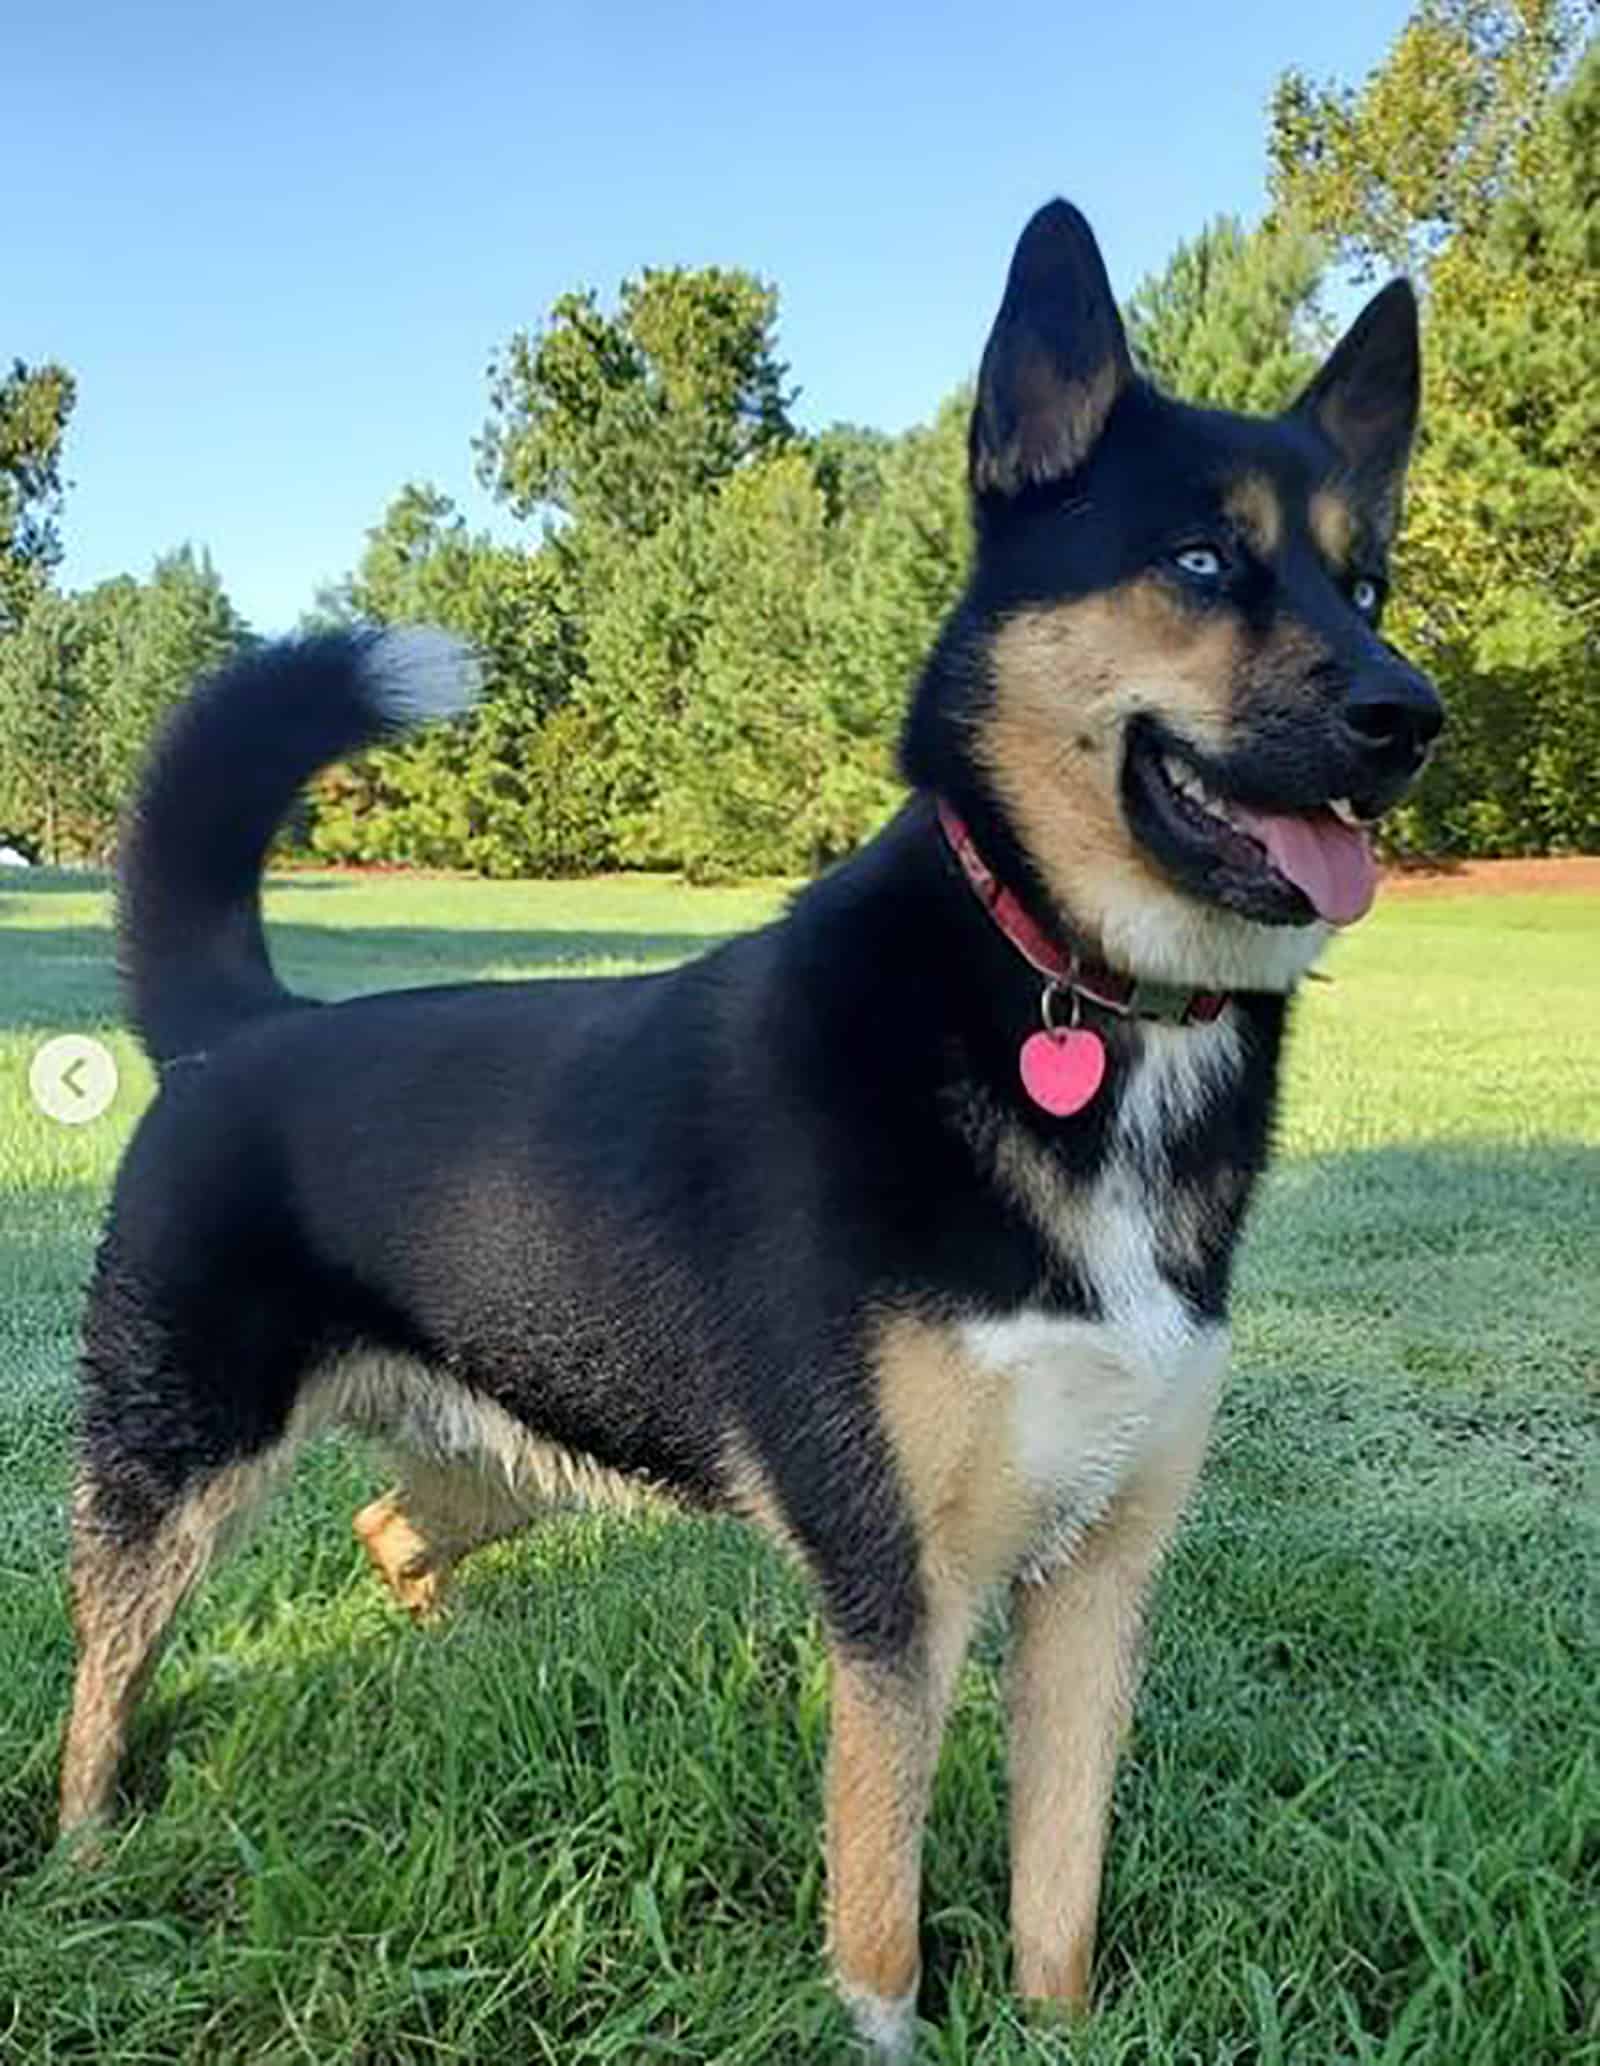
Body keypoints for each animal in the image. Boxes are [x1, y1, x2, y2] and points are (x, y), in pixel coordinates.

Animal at [59, 197, 1438, 2049]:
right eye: (1206, 564)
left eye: (1365, 583)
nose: (1411, 716)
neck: (1074, 1000)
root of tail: (238, 1031)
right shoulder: (894, 1589)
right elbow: (880, 1924)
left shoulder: (1099, 1577)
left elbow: (1060, 1904)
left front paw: (1060, 2021)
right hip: (172, 1466)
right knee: (101, 1677)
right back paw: (83, 1865)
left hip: (494, 1455)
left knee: (384, 1528)